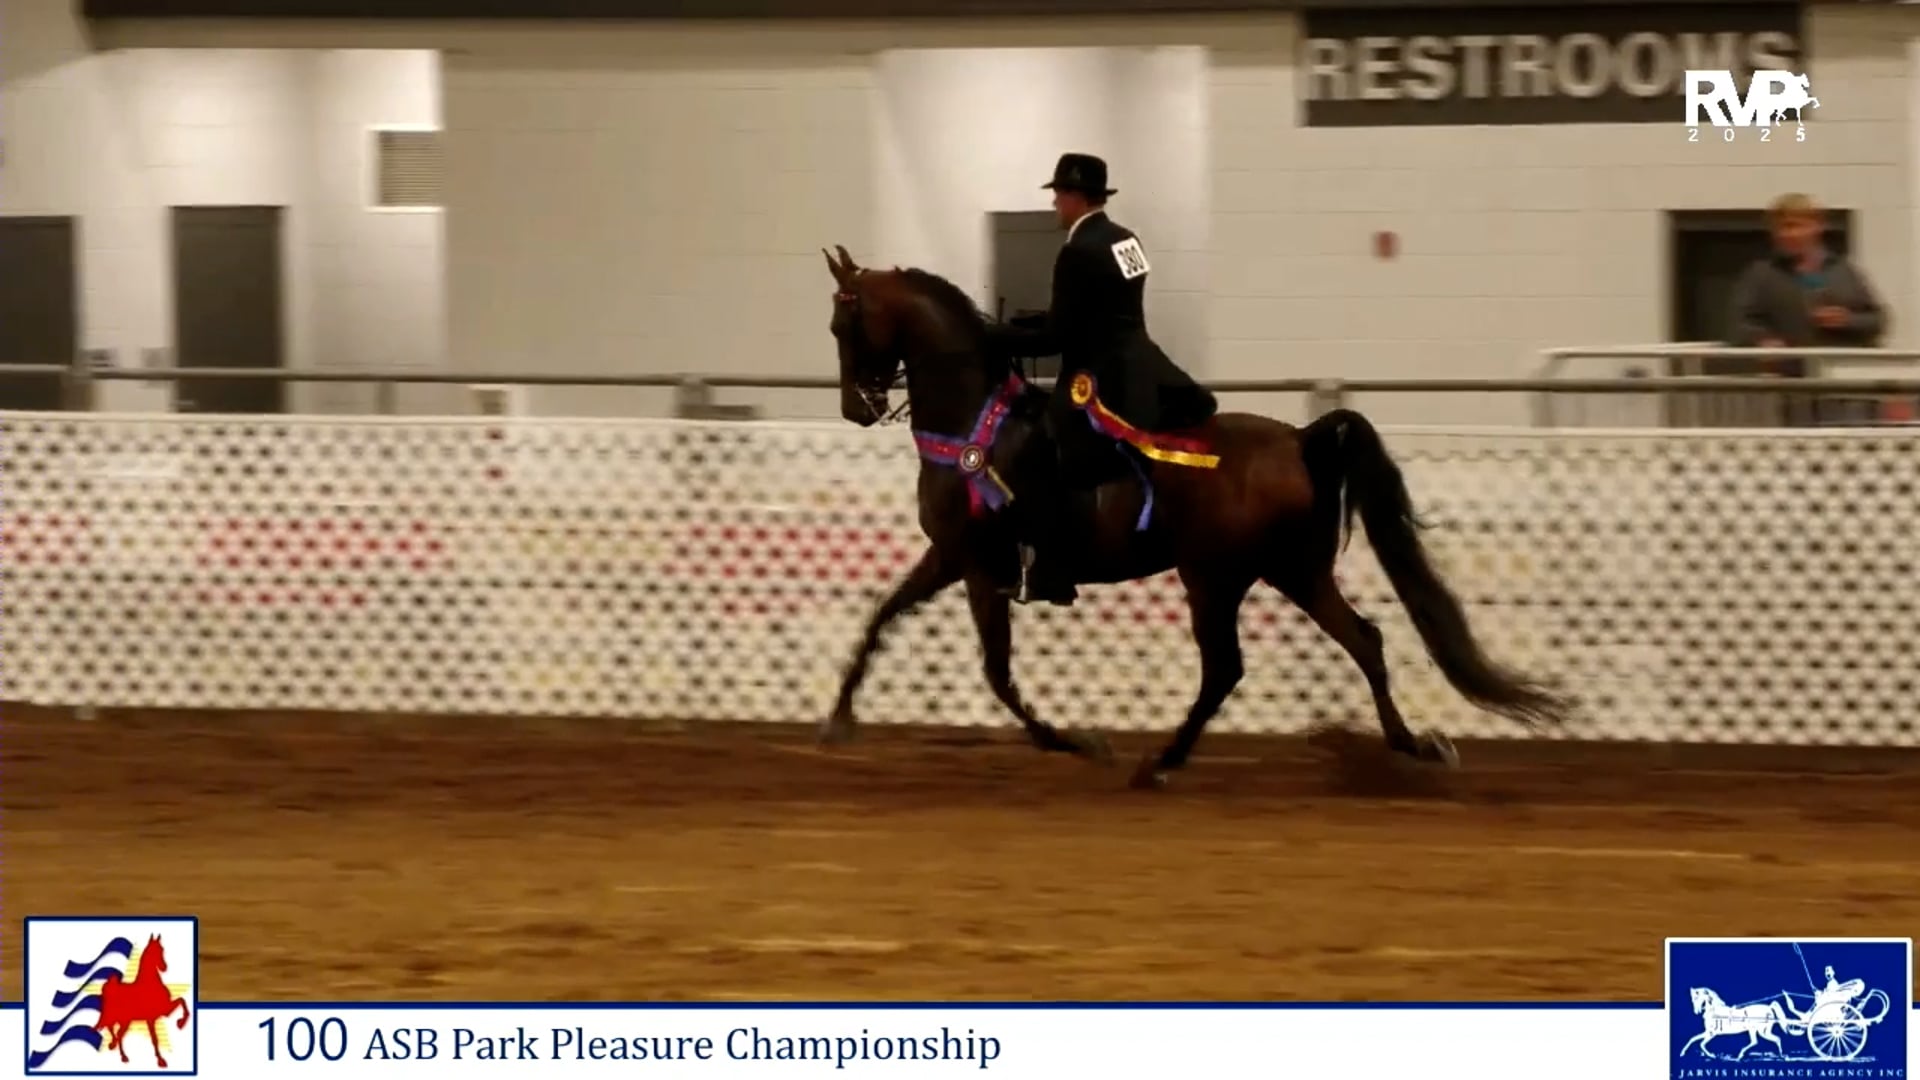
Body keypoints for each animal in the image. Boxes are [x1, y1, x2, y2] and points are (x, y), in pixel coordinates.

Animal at [95, 934, 190, 1067]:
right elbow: (155, 1039)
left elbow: (182, 1001)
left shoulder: (165, 1010)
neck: (150, 984)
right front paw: (161, 1061)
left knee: (113, 1030)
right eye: (154, 951)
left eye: (162, 949)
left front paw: (180, 1023)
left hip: (122, 1020)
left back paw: (114, 1047)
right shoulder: (151, 1018)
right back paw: (123, 1056)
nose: (164, 967)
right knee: (115, 1031)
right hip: (121, 1019)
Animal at [817, 244, 1572, 788]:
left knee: (1226, 669)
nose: (857, 406)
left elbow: (997, 674)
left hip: (1214, 577)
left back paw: (1161, 763)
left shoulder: (978, 566)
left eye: (842, 322)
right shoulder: (949, 558)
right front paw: (837, 718)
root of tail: (1301, 440)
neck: (974, 423)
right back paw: (1413, 744)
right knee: (1363, 639)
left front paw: (1081, 742)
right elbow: (881, 617)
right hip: (1293, 570)